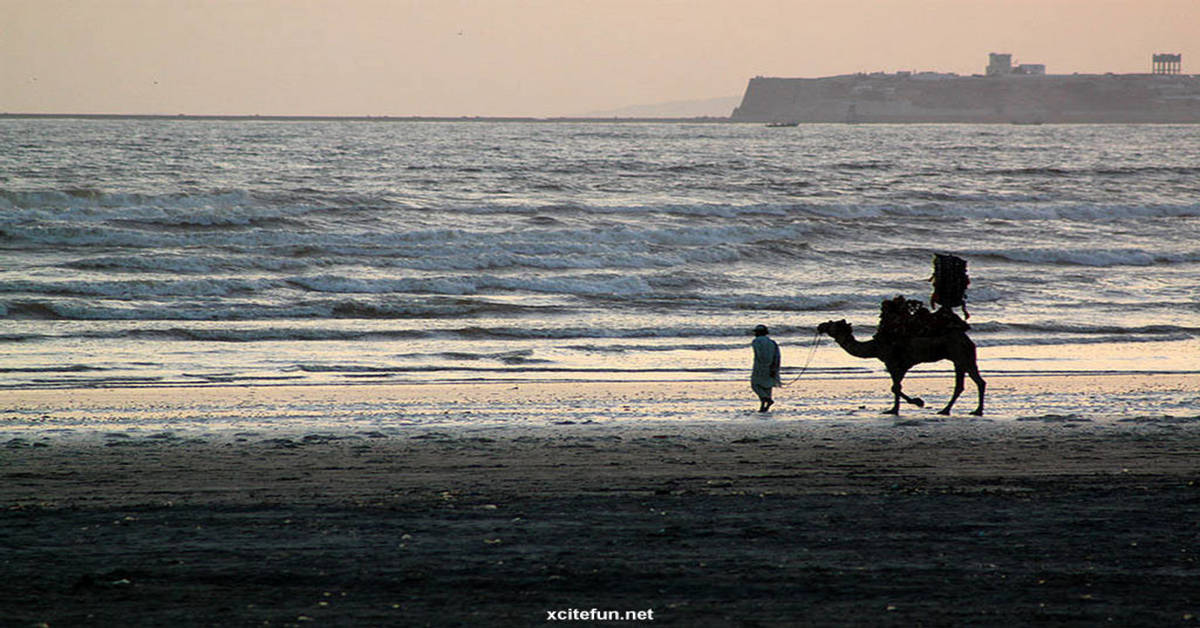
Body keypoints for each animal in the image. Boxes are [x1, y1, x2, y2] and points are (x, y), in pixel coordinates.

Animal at [816, 317, 984, 415]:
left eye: (831, 324)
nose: (820, 326)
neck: (875, 347)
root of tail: (967, 339)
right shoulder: (899, 365)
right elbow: (896, 387)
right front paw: (895, 408)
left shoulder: (894, 362)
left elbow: (895, 387)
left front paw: (916, 403)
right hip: (961, 357)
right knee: (967, 383)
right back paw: (951, 410)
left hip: (961, 355)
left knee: (974, 381)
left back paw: (971, 411)